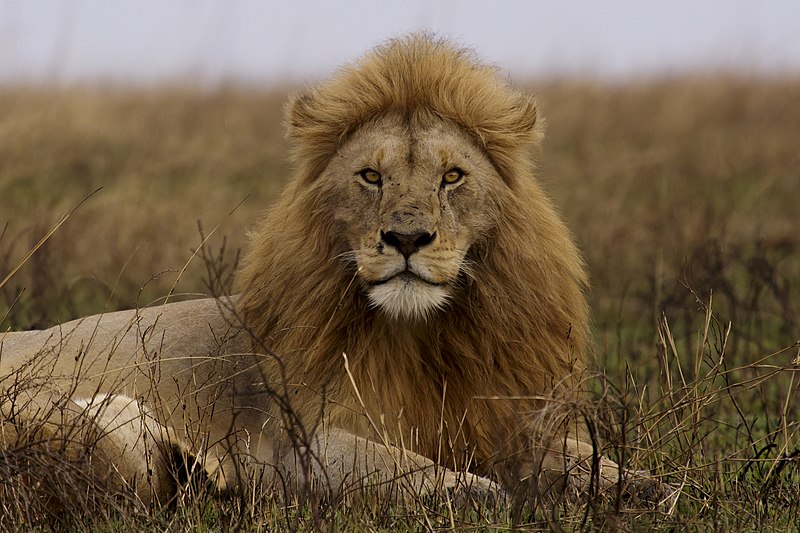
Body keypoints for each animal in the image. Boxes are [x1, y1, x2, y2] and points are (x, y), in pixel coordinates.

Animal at [0, 34, 664, 512]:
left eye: (452, 177)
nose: (406, 239)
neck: (420, 341)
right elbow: (399, 466)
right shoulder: (289, 437)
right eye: (370, 176)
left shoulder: (494, 419)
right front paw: (476, 492)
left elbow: (580, 455)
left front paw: (641, 483)